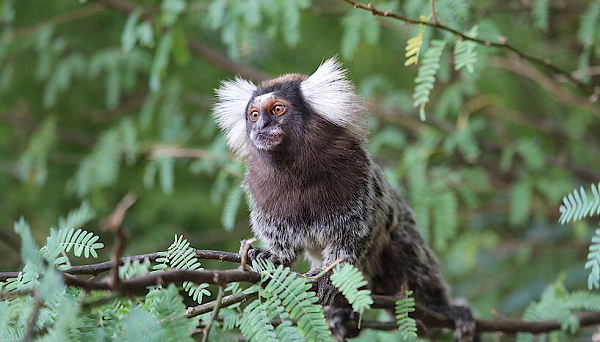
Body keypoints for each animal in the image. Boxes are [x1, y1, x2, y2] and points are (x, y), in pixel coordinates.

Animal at [214, 57, 474, 340]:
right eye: (254, 114)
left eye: (278, 109)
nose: (261, 126)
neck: (295, 170)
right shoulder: (263, 192)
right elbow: (284, 241)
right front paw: (274, 255)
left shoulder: (356, 176)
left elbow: (350, 238)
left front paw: (326, 278)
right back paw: (341, 313)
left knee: (409, 252)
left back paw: (443, 309)